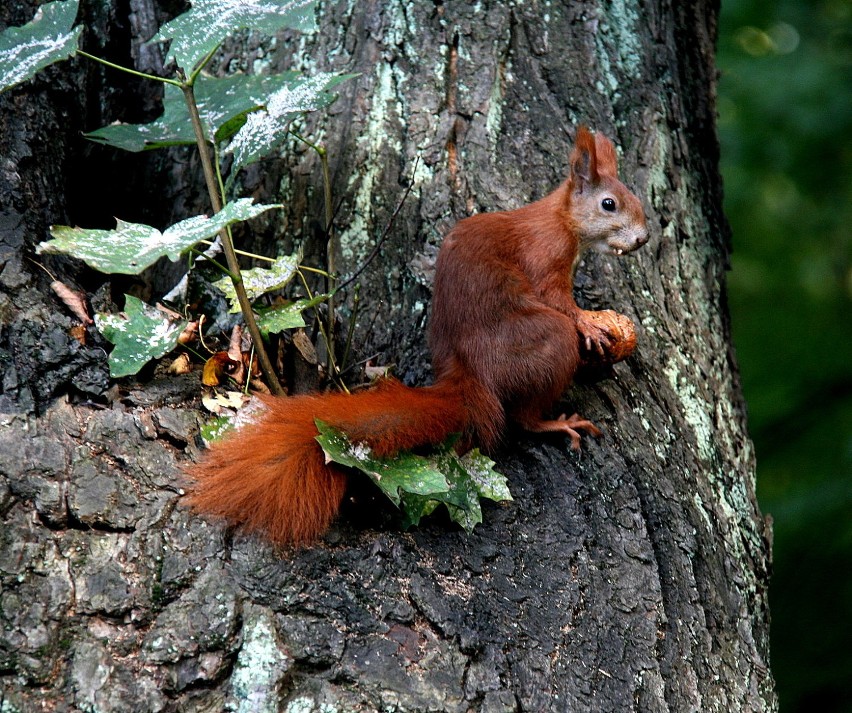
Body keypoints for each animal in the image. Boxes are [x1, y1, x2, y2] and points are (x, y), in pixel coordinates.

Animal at [186, 126, 648, 544]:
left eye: (639, 202)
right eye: (609, 204)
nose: (643, 238)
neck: (559, 219)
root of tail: (470, 378)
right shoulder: (545, 256)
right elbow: (560, 301)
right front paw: (588, 320)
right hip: (549, 343)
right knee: (523, 417)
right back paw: (557, 422)